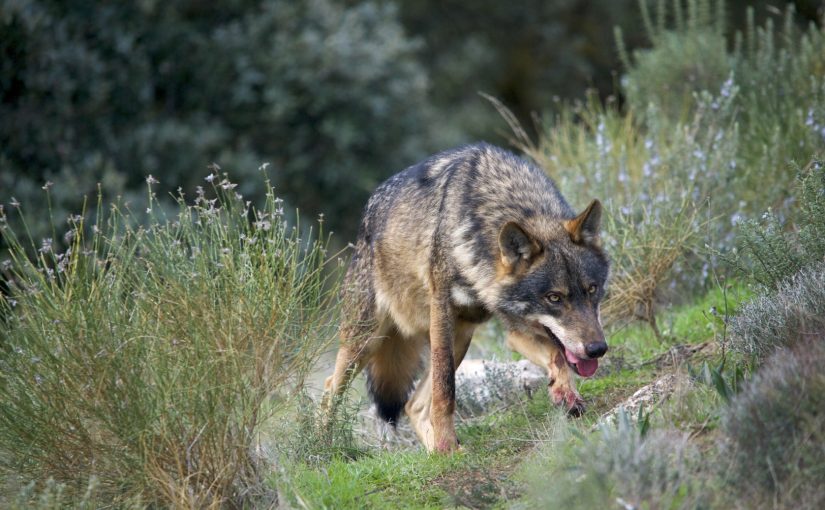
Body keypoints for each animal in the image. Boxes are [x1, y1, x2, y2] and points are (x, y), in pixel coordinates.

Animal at [326, 142, 608, 450]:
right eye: (554, 298)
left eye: (592, 289)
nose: (598, 349)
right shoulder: (442, 312)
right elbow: (445, 390)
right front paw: (446, 443)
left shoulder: (515, 328)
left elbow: (557, 355)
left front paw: (565, 394)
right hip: (366, 341)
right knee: (330, 388)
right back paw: (323, 444)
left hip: (460, 337)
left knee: (413, 405)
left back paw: (437, 452)